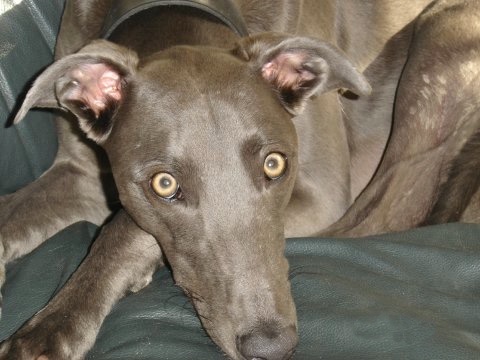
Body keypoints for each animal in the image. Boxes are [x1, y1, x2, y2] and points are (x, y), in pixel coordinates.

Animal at [0, 0, 480, 358]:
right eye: (164, 184)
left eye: (275, 164)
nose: (271, 347)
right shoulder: (81, 175)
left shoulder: (321, 198)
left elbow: (122, 229)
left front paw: (50, 328)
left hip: (445, 28)